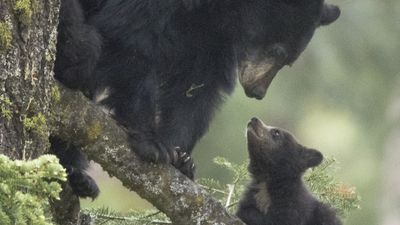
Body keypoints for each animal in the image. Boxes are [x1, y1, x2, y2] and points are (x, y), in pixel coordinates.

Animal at [53, 0, 340, 197]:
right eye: (277, 51)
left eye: (288, 61)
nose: (257, 92)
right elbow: (132, 35)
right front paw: (151, 141)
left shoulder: (210, 28)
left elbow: (196, 86)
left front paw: (181, 158)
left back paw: (78, 178)